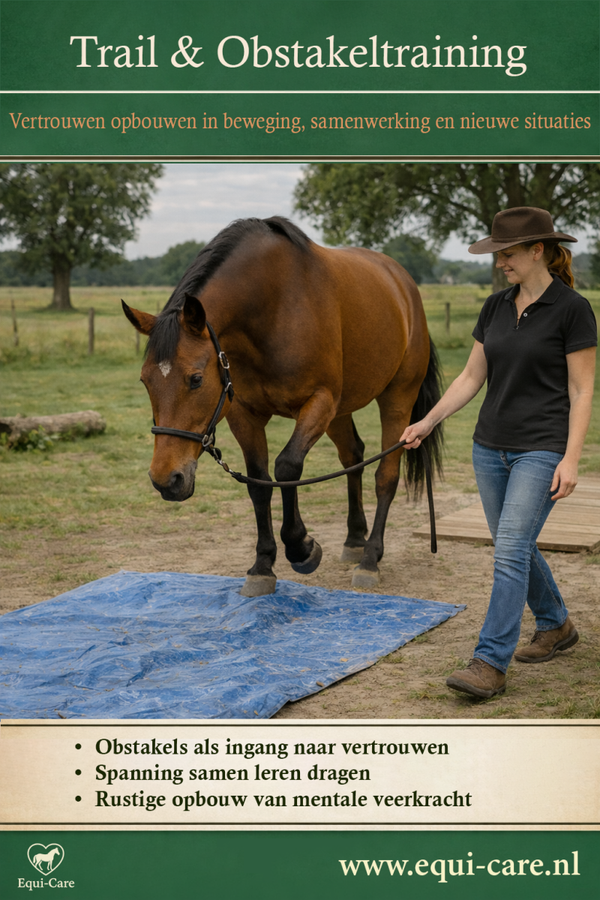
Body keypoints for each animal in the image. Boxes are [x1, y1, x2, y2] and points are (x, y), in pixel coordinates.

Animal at [123, 217, 443, 597]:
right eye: (145, 381)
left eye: (196, 379)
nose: (166, 480)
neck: (272, 308)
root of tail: (403, 284)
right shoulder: (243, 414)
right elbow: (259, 483)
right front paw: (263, 565)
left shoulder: (318, 402)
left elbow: (287, 467)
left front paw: (301, 547)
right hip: (341, 411)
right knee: (352, 457)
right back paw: (354, 540)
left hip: (396, 398)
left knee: (385, 475)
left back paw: (369, 558)